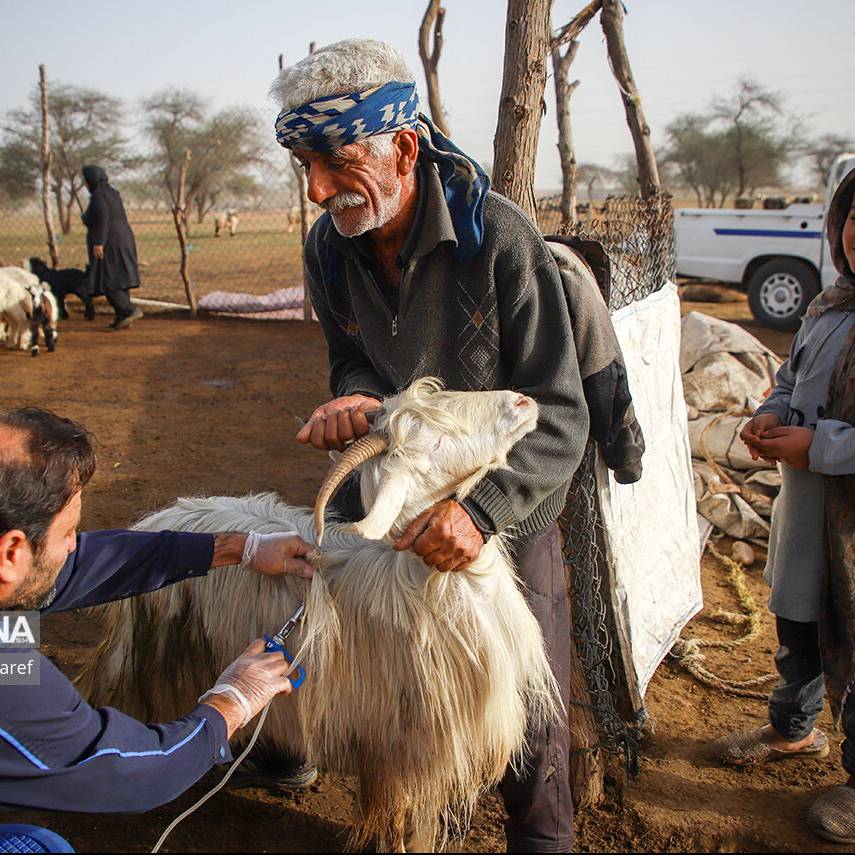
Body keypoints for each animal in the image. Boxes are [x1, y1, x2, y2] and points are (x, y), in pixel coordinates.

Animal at [77, 382, 560, 855]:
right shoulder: (401, 751)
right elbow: (403, 828)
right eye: (438, 440)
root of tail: (159, 519)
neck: (423, 585)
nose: (523, 401)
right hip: (142, 656)